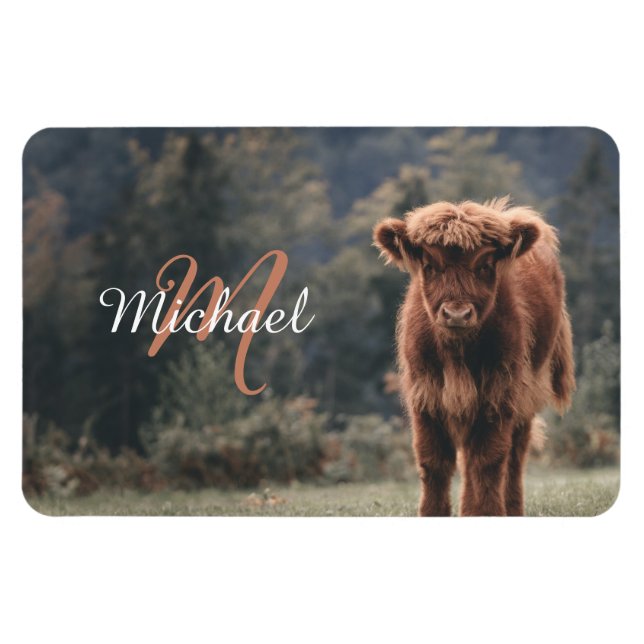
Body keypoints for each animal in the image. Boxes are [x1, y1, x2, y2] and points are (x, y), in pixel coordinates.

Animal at [373, 197, 575, 516]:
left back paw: (511, 509)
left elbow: (489, 460)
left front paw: (488, 512)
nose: (457, 314)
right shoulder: (425, 394)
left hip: (526, 394)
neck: (457, 353)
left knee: (514, 456)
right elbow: (433, 460)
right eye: (430, 265)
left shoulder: (499, 392)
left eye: (484, 265)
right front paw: (433, 513)